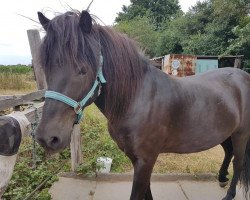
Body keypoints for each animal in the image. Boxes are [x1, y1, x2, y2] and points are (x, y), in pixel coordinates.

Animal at [35, 10, 250, 199]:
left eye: (83, 70)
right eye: (45, 67)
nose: (48, 138)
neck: (136, 99)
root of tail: (243, 76)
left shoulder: (146, 160)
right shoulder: (136, 158)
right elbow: (147, 192)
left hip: (241, 134)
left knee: (239, 163)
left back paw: (229, 194)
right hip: (224, 131)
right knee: (229, 152)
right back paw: (221, 178)